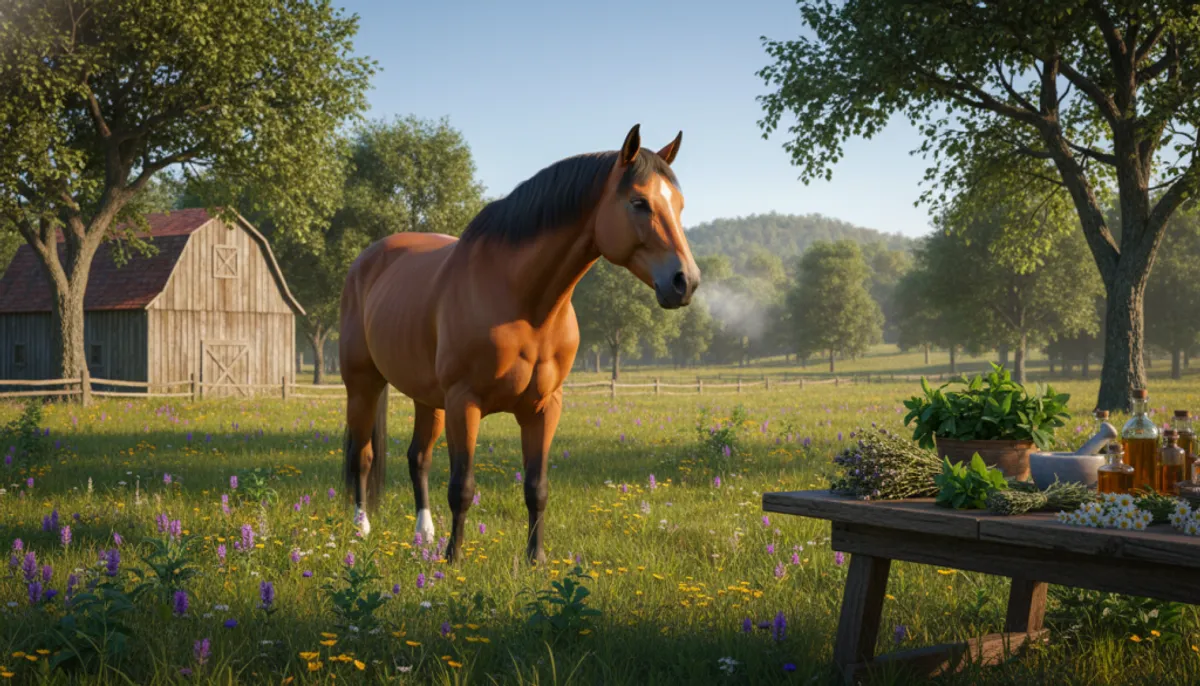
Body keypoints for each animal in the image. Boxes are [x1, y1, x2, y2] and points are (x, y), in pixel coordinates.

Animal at [338, 124, 700, 564]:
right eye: (639, 202)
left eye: (679, 205)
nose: (686, 281)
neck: (524, 303)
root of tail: (367, 260)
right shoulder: (464, 402)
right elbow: (462, 487)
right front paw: (453, 560)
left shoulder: (543, 407)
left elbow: (536, 487)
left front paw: (535, 559)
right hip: (363, 385)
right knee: (362, 457)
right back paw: (361, 529)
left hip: (427, 398)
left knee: (418, 458)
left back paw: (423, 535)